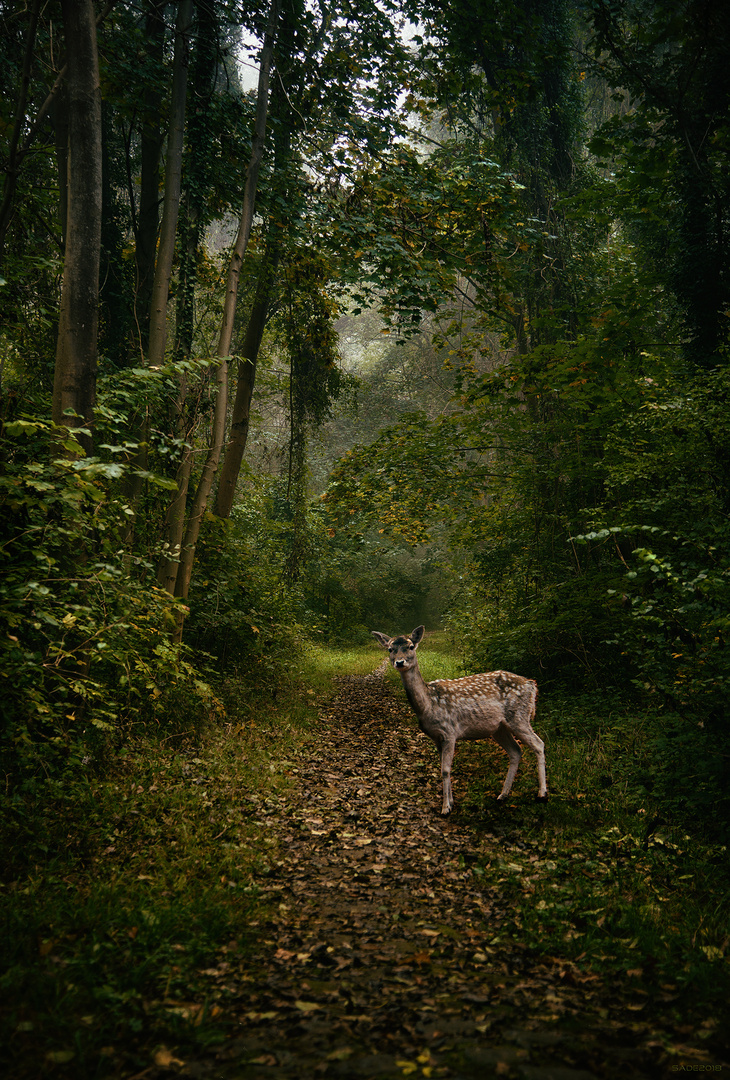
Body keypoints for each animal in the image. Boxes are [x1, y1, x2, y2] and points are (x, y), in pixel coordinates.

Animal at [373, 630, 544, 812]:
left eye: (411, 646)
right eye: (390, 649)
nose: (399, 662)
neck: (428, 705)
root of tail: (531, 685)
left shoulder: (449, 731)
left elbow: (445, 770)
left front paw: (445, 808)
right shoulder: (436, 737)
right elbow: (443, 768)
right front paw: (451, 802)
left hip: (519, 716)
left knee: (539, 744)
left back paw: (542, 794)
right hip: (499, 729)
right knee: (516, 751)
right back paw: (502, 795)